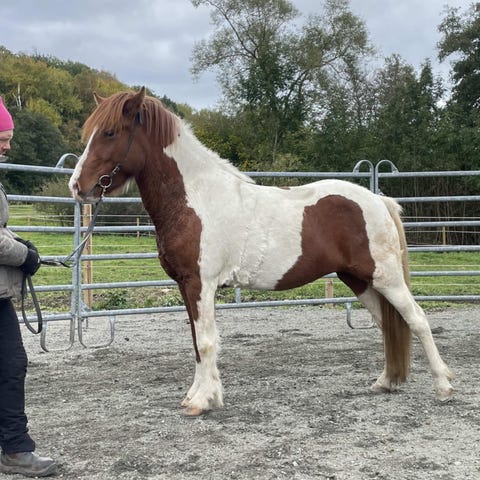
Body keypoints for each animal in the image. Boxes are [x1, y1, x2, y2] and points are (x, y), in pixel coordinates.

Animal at [69, 87, 453, 416]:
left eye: (109, 133)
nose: (77, 186)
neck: (195, 200)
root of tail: (377, 200)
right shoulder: (186, 286)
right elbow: (196, 342)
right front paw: (197, 396)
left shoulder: (200, 284)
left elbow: (205, 342)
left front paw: (203, 402)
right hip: (359, 281)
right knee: (388, 325)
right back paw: (386, 382)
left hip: (386, 278)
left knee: (416, 320)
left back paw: (444, 387)